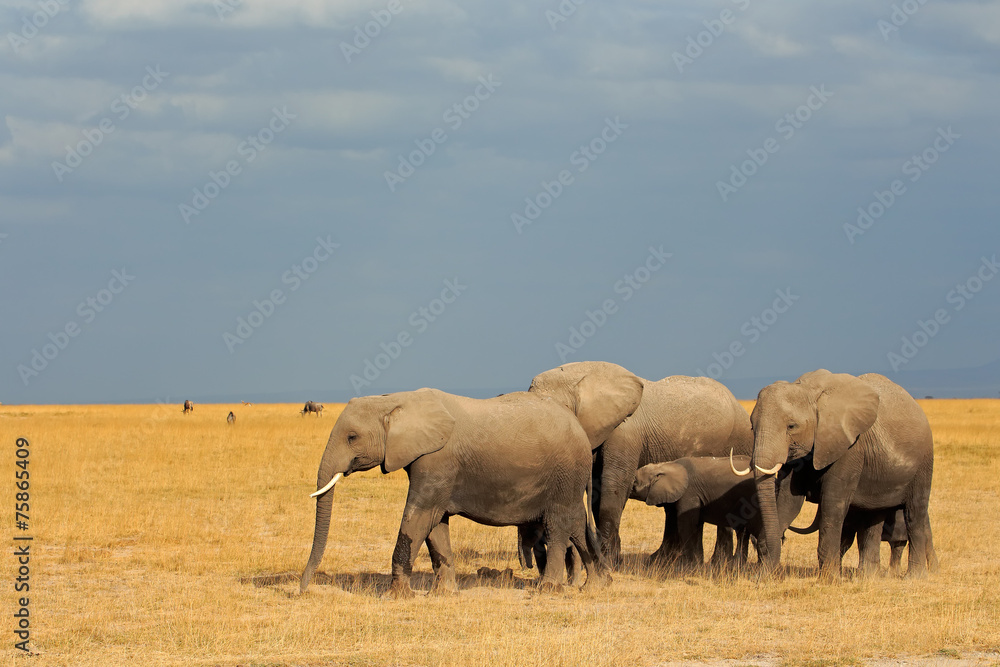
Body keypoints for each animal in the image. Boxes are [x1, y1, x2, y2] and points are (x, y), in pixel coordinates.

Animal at [299, 388, 612, 597]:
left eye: (352, 437)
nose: (302, 591)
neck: (396, 400)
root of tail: (582, 433)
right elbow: (436, 526)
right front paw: (444, 594)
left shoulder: (437, 462)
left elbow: (418, 518)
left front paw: (396, 597)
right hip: (568, 479)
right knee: (575, 525)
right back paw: (592, 586)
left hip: (564, 472)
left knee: (557, 527)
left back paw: (548, 590)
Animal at [528, 361, 753, 567]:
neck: (579, 377)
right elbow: (598, 489)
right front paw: (612, 558)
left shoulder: (625, 430)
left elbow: (615, 484)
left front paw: (609, 561)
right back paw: (662, 561)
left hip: (738, 440)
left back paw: (718, 563)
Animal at [630, 456, 805, 568]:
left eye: (634, 483)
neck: (666, 465)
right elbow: (696, 525)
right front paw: (697, 563)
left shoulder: (689, 493)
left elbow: (687, 524)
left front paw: (687, 565)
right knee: (744, 532)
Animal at [742, 369, 935, 579]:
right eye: (751, 426)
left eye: (791, 426)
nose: (781, 540)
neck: (809, 391)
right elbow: (788, 501)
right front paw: (763, 577)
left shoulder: (849, 448)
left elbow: (833, 503)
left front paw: (830, 579)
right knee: (874, 516)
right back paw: (868, 576)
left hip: (924, 461)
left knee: (914, 512)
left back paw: (915, 577)